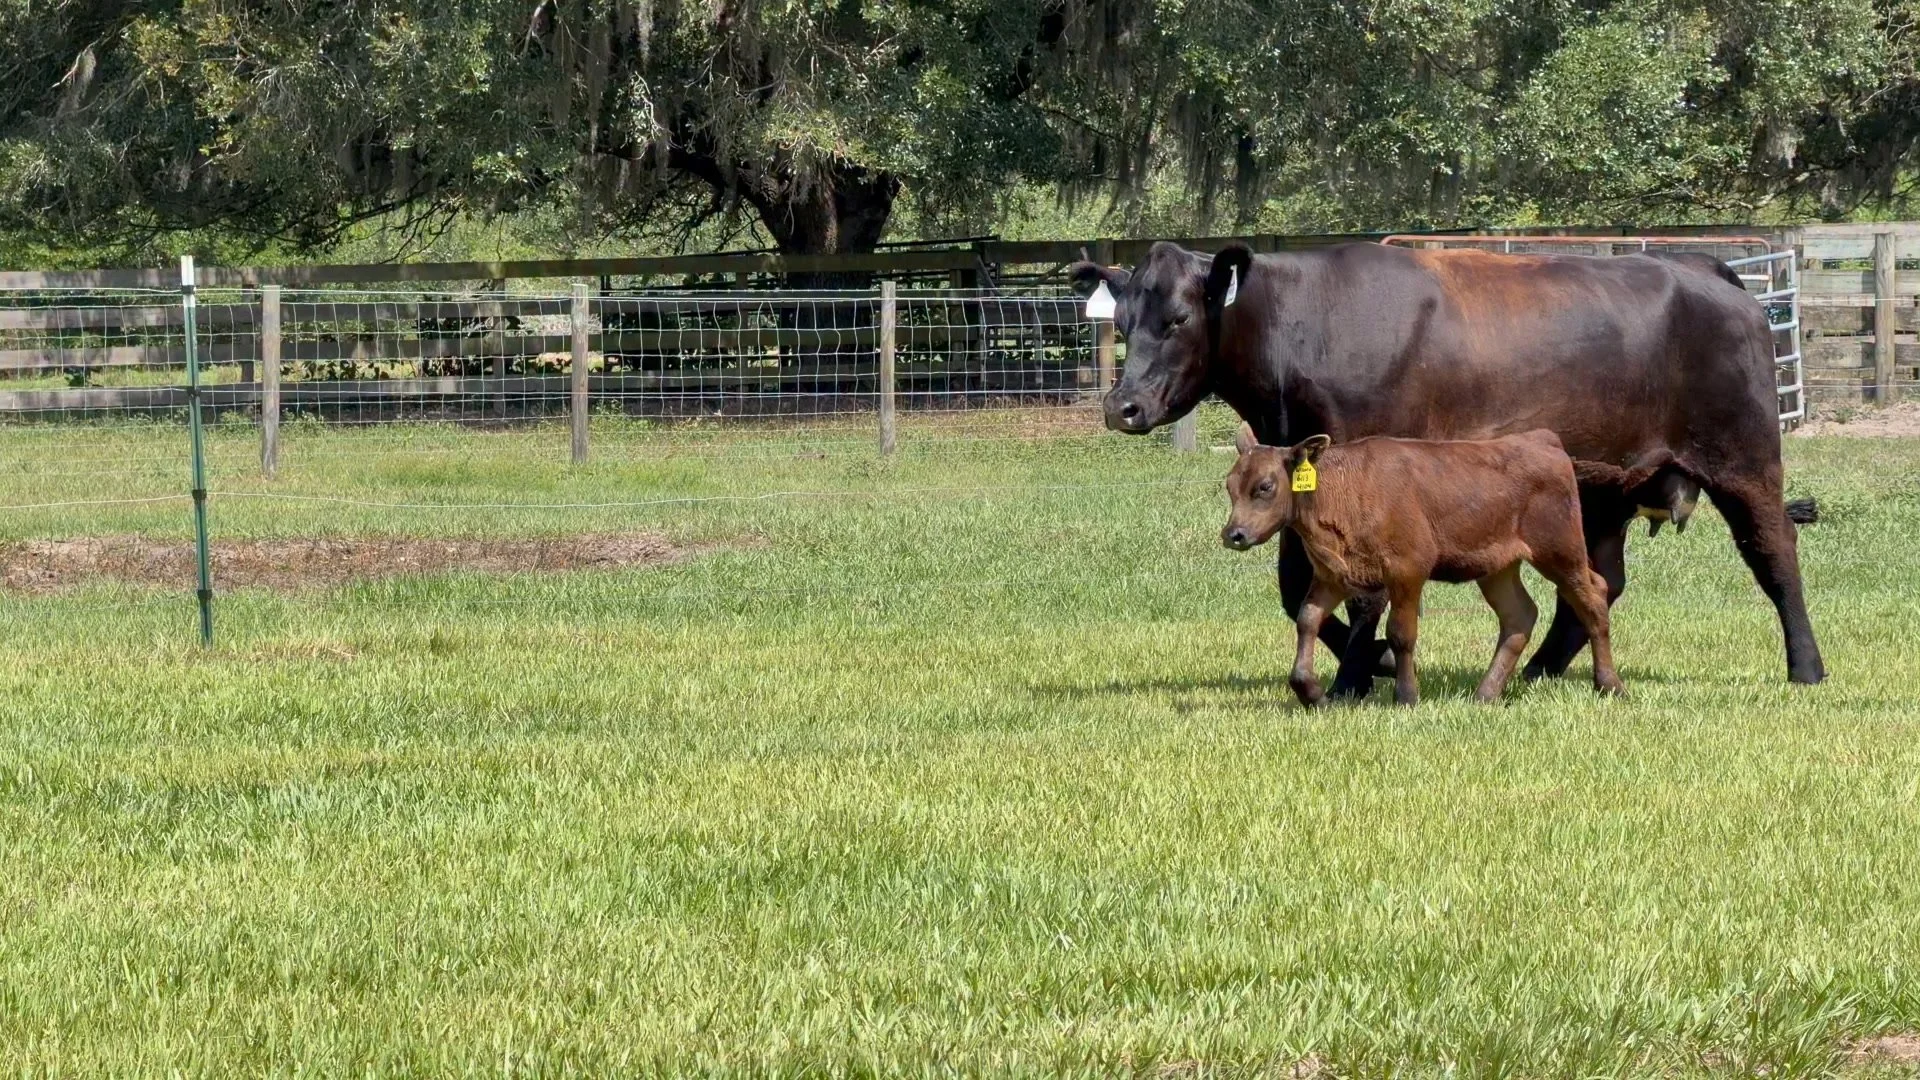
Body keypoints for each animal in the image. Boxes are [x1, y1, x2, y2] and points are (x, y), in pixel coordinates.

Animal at [1221, 426, 1624, 706]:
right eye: (1230, 485)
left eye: (1265, 486)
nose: (1233, 534)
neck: (1345, 492)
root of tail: (1543, 440)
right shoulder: (1331, 574)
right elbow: (1307, 619)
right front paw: (1309, 692)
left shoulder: (1407, 568)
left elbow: (1401, 632)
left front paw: (1406, 696)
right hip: (1497, 565)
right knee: (1519, 614)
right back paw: (1485, 694)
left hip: (1560, 549)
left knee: (1593, 596)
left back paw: (1610, 684)